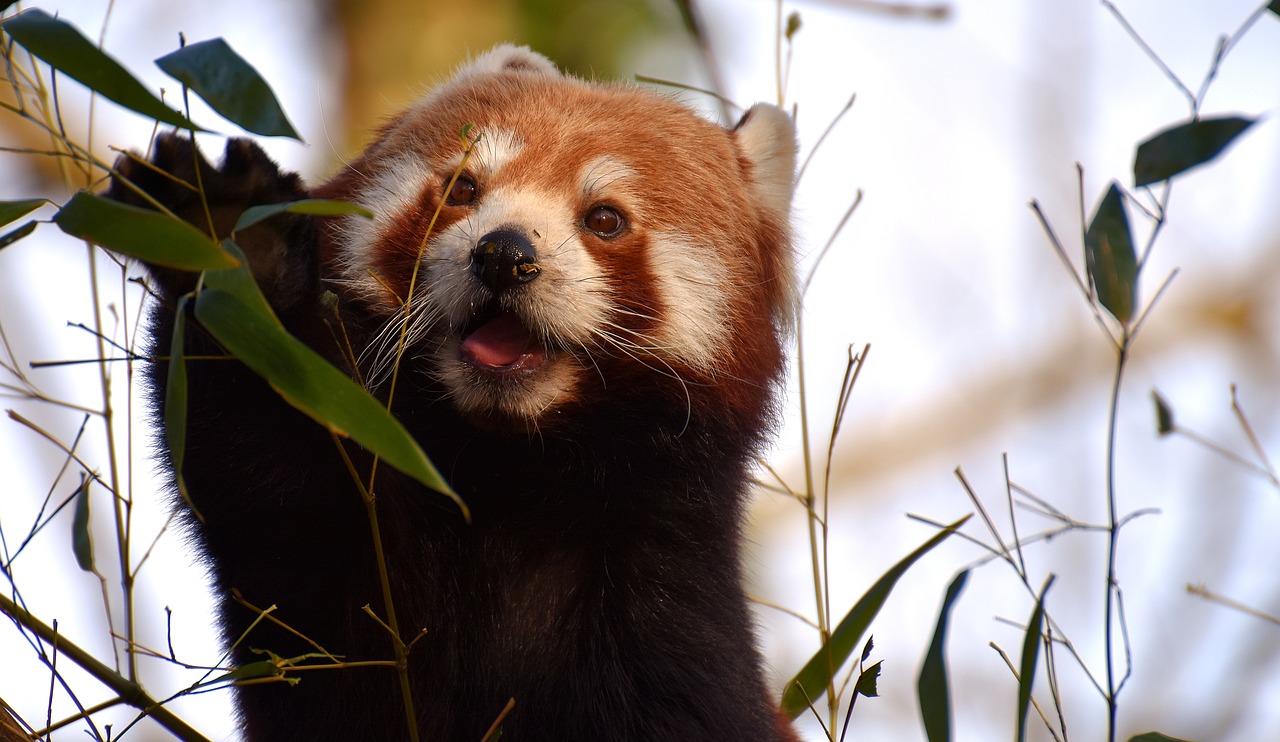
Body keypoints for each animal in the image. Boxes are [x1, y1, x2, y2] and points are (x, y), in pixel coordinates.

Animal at [117, 46, 798, 742]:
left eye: (605, 219)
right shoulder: (341, 566)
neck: (507, 481)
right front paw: (237, 245)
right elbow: (264, 479)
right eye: (463, 190)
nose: (502, 254)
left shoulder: (668, 596)